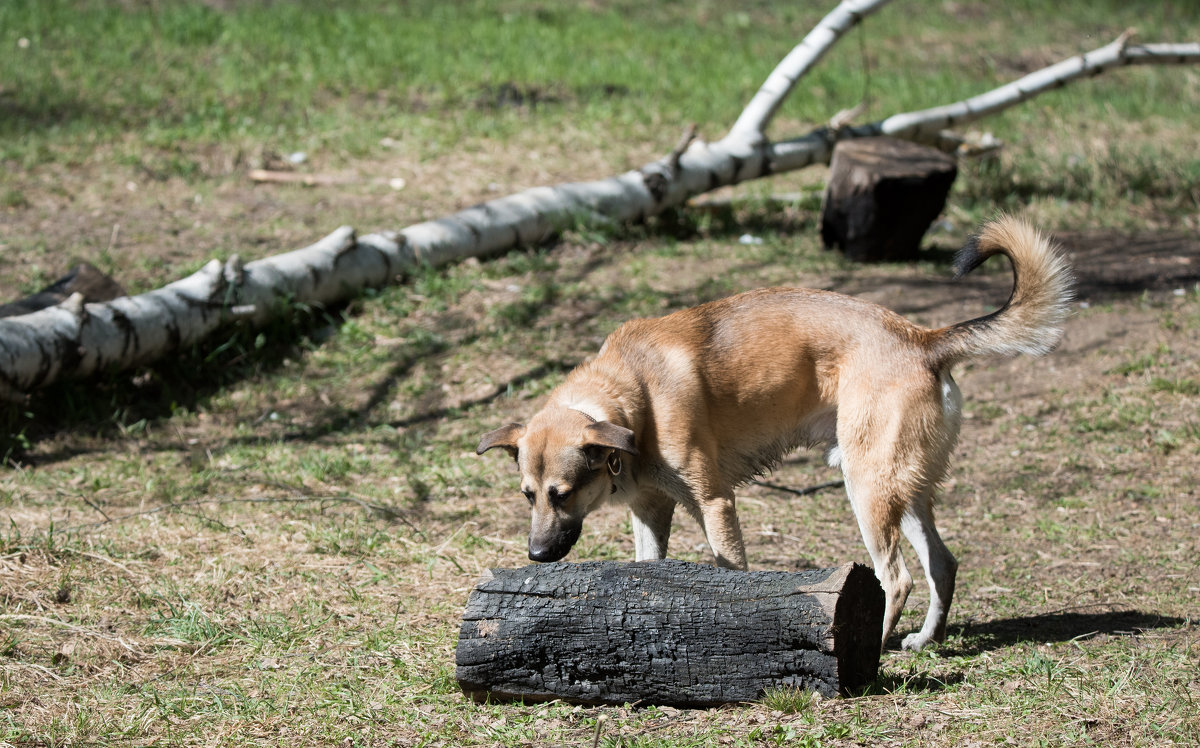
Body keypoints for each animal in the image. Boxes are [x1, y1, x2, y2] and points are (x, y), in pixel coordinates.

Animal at [472, 214, 1075, 648]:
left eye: (562, 494)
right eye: (527, 495)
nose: (536, 557)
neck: (632, 394)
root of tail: (922, 339)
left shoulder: (715, 503)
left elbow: (729, 570)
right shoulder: (650, 510)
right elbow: (648, 568)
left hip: (867, 488)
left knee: (896, 578)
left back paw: (874, 647)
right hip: (903, 488)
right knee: (942, 565)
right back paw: (925, 640)